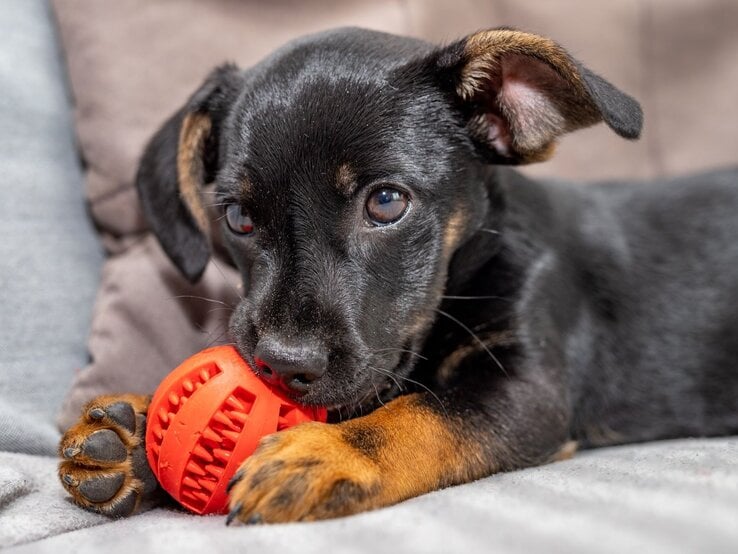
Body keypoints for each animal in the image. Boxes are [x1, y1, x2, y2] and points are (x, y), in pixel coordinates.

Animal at [59, 27, 736, 520]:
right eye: (239, 217)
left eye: (386, 202)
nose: (281, 365)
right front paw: (136, 436)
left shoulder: (527, 388)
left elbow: (424, 412)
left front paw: (328, 453)